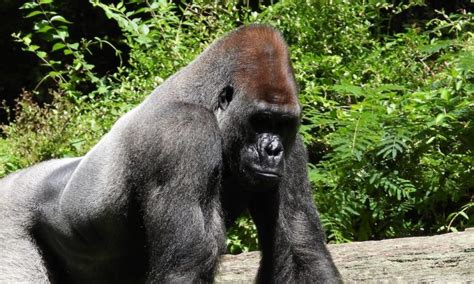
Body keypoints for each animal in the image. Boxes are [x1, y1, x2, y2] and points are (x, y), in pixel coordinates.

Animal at [0, 25, 340, 282]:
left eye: (282, 123)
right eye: (260, 120)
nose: (272, 150)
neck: (208, 103)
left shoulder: (293, 149)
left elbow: (300, 248)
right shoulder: (184, 134)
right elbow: (188, 262)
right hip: (9, 215)